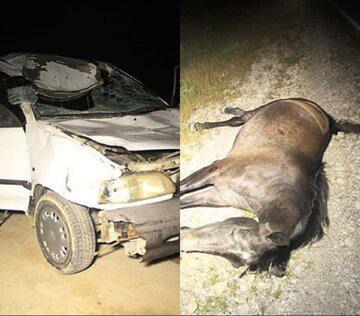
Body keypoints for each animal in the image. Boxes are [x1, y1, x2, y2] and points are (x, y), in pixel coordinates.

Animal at [180, 98, 360, 276]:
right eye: (235, 233)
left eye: (236, 263)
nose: (185, 240)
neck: (272, 184)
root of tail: (323, 114)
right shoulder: (213, 172)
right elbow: (182, 190)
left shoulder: (219, 196)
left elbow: (185, 200)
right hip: (265, 108)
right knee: (239, 119)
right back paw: (203, 123)